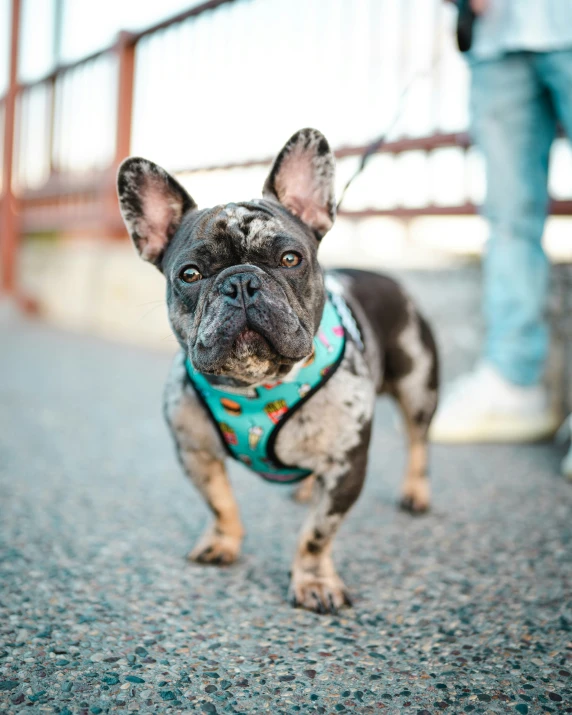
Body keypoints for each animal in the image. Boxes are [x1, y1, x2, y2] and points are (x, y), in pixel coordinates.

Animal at [116, 126, 438, 612]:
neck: (255, 389)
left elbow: (317, 533)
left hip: (419, 386)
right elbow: (220, 503)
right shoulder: (195, 453)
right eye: (189, 274)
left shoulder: (346, 467)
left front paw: (314, 581)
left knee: (418, 441)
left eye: (290, 259)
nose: (240, 282)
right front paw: (222, 542)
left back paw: (416, 492)